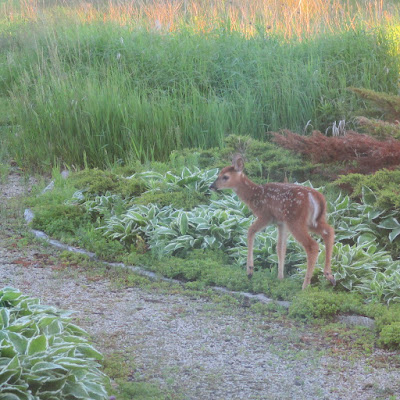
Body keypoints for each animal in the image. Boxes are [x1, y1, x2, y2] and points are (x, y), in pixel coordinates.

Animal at [209, 154, 335, 290]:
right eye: (219, 173)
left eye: (225, 176)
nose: (212, 186)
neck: (254, 195)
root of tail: (317, 198)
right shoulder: (281, 223)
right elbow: (280, 247)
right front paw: (280, 277)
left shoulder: (266, 216)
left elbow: (250, 231)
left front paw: (250, 271)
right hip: (313, 221)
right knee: (329, 231)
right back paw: (330, 276)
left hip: (295, 220)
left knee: (312, 245)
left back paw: (305, 286)